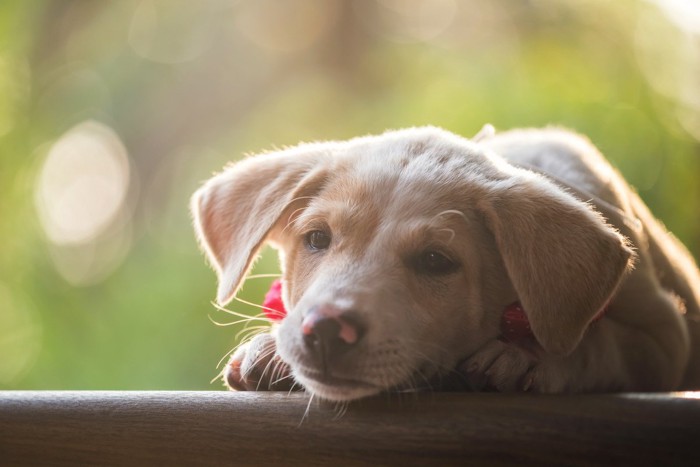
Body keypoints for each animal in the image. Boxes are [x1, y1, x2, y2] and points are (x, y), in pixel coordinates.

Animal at [191, 127, 700, 402]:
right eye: (317, 238)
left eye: (436, 261)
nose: (328, 330)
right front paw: (268, 350)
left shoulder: (664, 338)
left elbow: (598, 345)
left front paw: (525, 356)